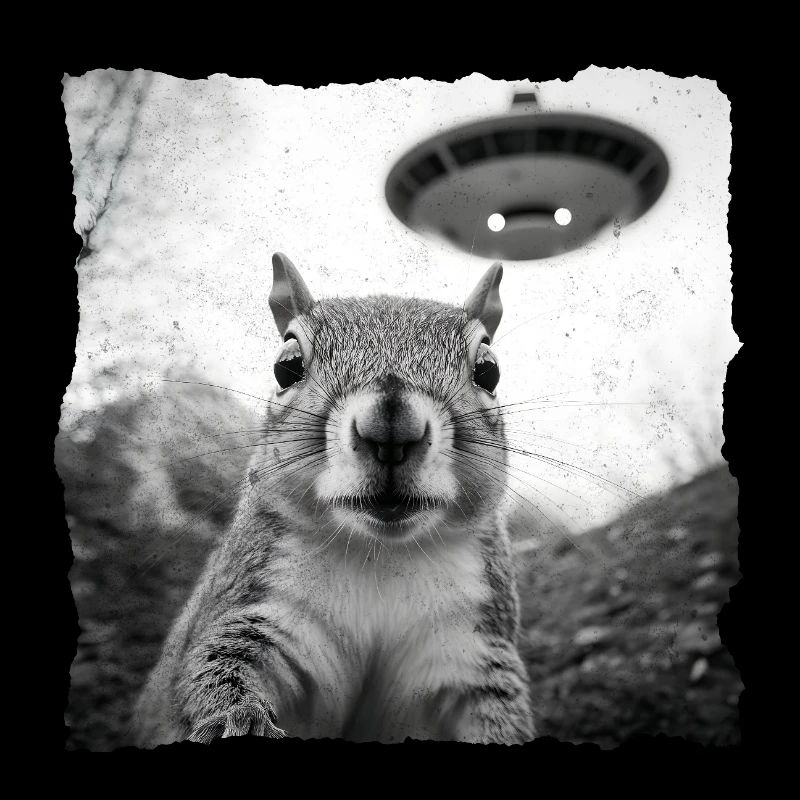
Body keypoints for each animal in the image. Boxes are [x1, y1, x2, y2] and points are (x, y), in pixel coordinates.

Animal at [133, 252, 535, 746]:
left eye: (488, 370)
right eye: (286, 366)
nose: (391, 427)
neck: (382, 555)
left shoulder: (470, 650)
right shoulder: (260, 609)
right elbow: (217, 666)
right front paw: (239, 720)